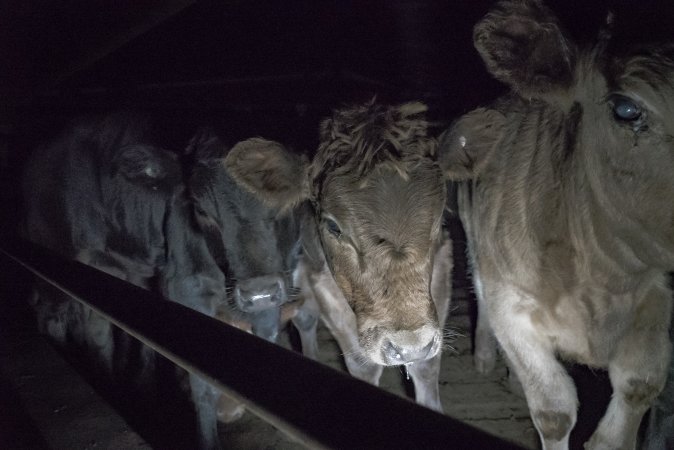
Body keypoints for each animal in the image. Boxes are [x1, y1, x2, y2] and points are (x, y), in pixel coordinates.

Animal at [20, 117, 316, 450]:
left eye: (289, 199)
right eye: (199, 208)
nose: (259, 292)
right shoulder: (188, 291)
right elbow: (202, 386)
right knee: (56, 318)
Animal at [224, 101, 452, 412]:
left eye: (438, 218)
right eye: (333, 226)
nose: (407, 347)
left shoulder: (440, 269)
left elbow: (426, 366)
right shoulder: (322, 282)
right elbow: (362, 363)